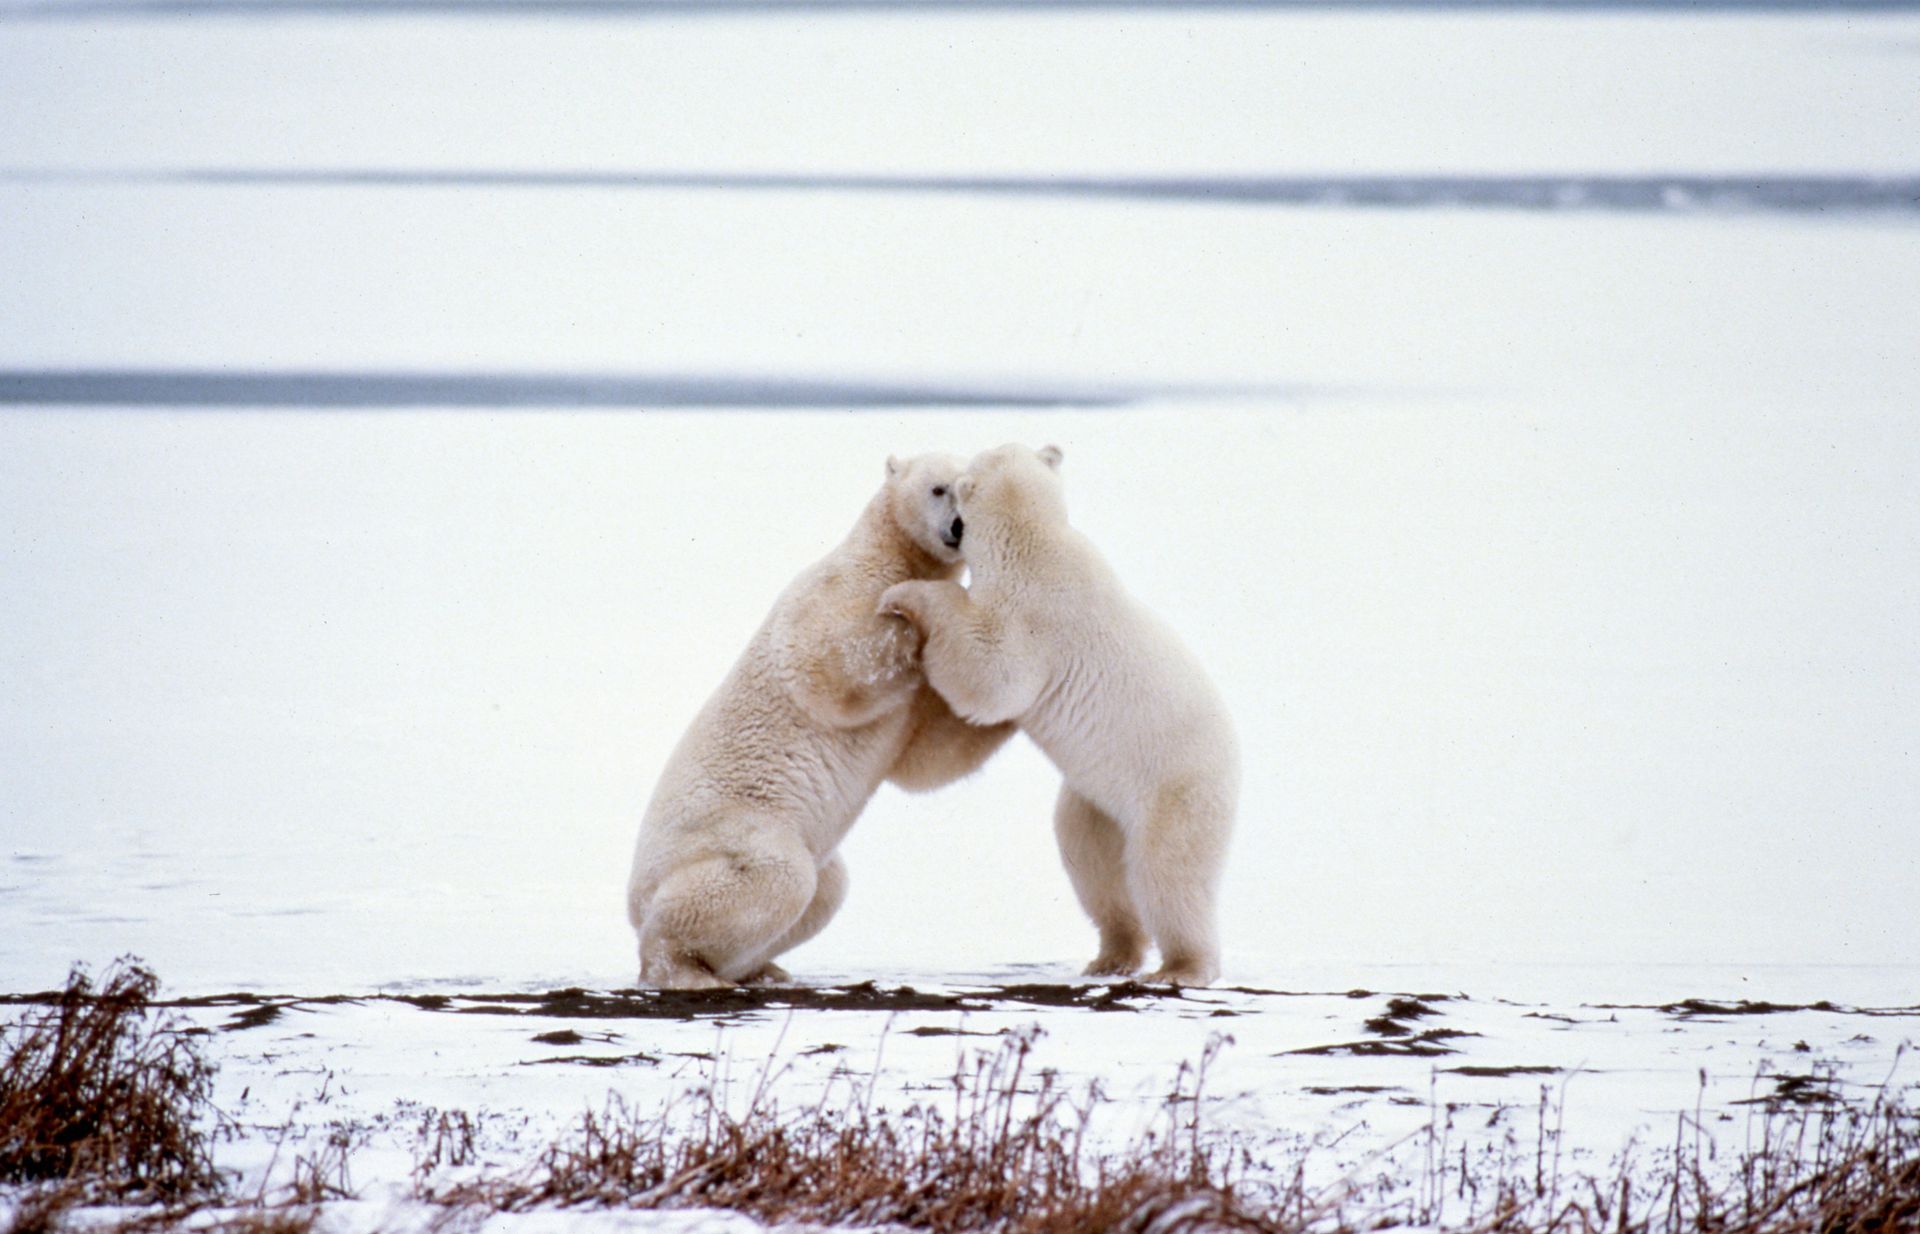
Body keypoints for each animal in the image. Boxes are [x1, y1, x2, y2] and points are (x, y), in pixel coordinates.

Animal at [627, 453, 1015, 989]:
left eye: (973, 488)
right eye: (940, 488)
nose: (959, 527)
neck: (886, 553)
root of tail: (634, 899)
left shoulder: (914, 708)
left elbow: (930, 756)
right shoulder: (832, 592)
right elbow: (831, 661)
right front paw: (916, 615)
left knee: (826, 891)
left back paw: (763, 968)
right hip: (734, 833)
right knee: (776, 879)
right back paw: (686, 968)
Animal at [879, 444, 1238, 986]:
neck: (1036, 541)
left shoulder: (1033, 616)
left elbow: (992, 676)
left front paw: (904, 598)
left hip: (1177, 792)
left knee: (1169, 874)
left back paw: (1181, 967)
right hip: (1095, 803)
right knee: (1091, 863)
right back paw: (1112, 954)